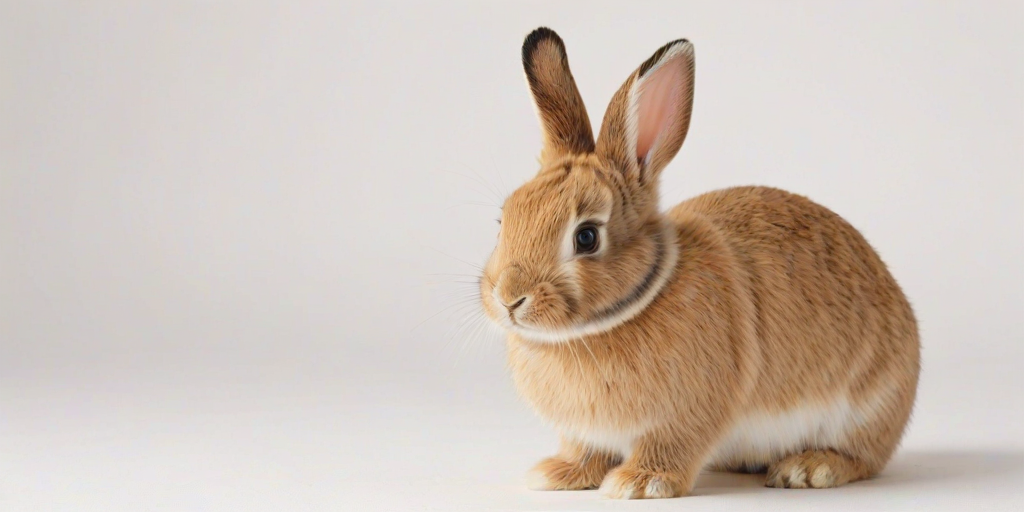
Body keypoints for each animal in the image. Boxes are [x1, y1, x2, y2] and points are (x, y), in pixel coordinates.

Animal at [477, 27, 920, 499]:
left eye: (587, 237)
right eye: (504, 220)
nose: (508, 299)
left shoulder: (689, 414)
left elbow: (672, 445)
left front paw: (639, 483)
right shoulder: (585, 432)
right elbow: (585, 451)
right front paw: (556, 474)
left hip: (867, 406)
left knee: (863, 458)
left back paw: (807, 469)